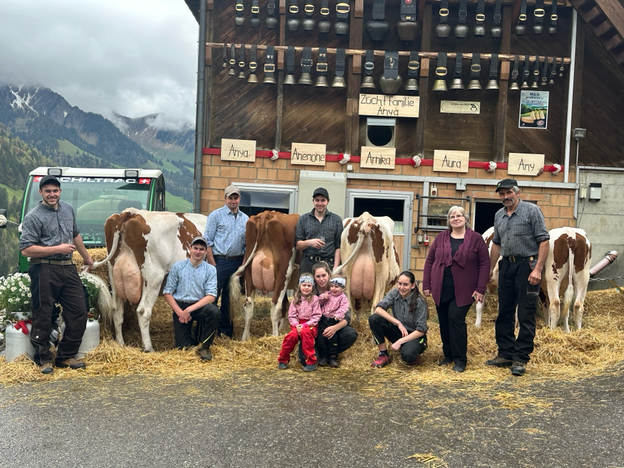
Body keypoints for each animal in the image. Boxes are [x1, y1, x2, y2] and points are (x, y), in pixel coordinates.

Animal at [94, 209, 207, 352]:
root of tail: (131, 212)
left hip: (114, 275)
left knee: (117, 310)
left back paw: (121, 343)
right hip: (154, 276)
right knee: (143, 311)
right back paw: (148, 348)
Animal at [229, 211, 300, 340]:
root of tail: (266, 215)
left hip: (248, 270)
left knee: (248, 305)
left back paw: (245, 338)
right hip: (284, 273)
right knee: (275, 304)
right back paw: (275, 336)